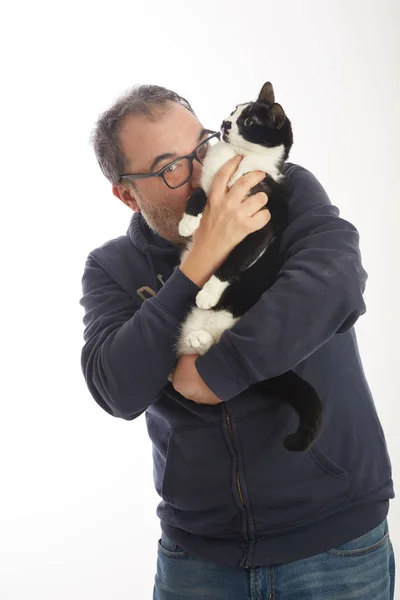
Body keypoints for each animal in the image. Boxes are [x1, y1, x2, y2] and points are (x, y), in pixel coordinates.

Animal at [175, 82, 322, 452]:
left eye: (247, 121)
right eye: (232, 111)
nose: (224, 124)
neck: (237, 159)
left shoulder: (261, 225)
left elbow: (233, 261)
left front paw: (208, 292)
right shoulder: (209, 187)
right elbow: (197, 195)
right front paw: (187, 223)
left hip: (237, 310)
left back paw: (203, 328)